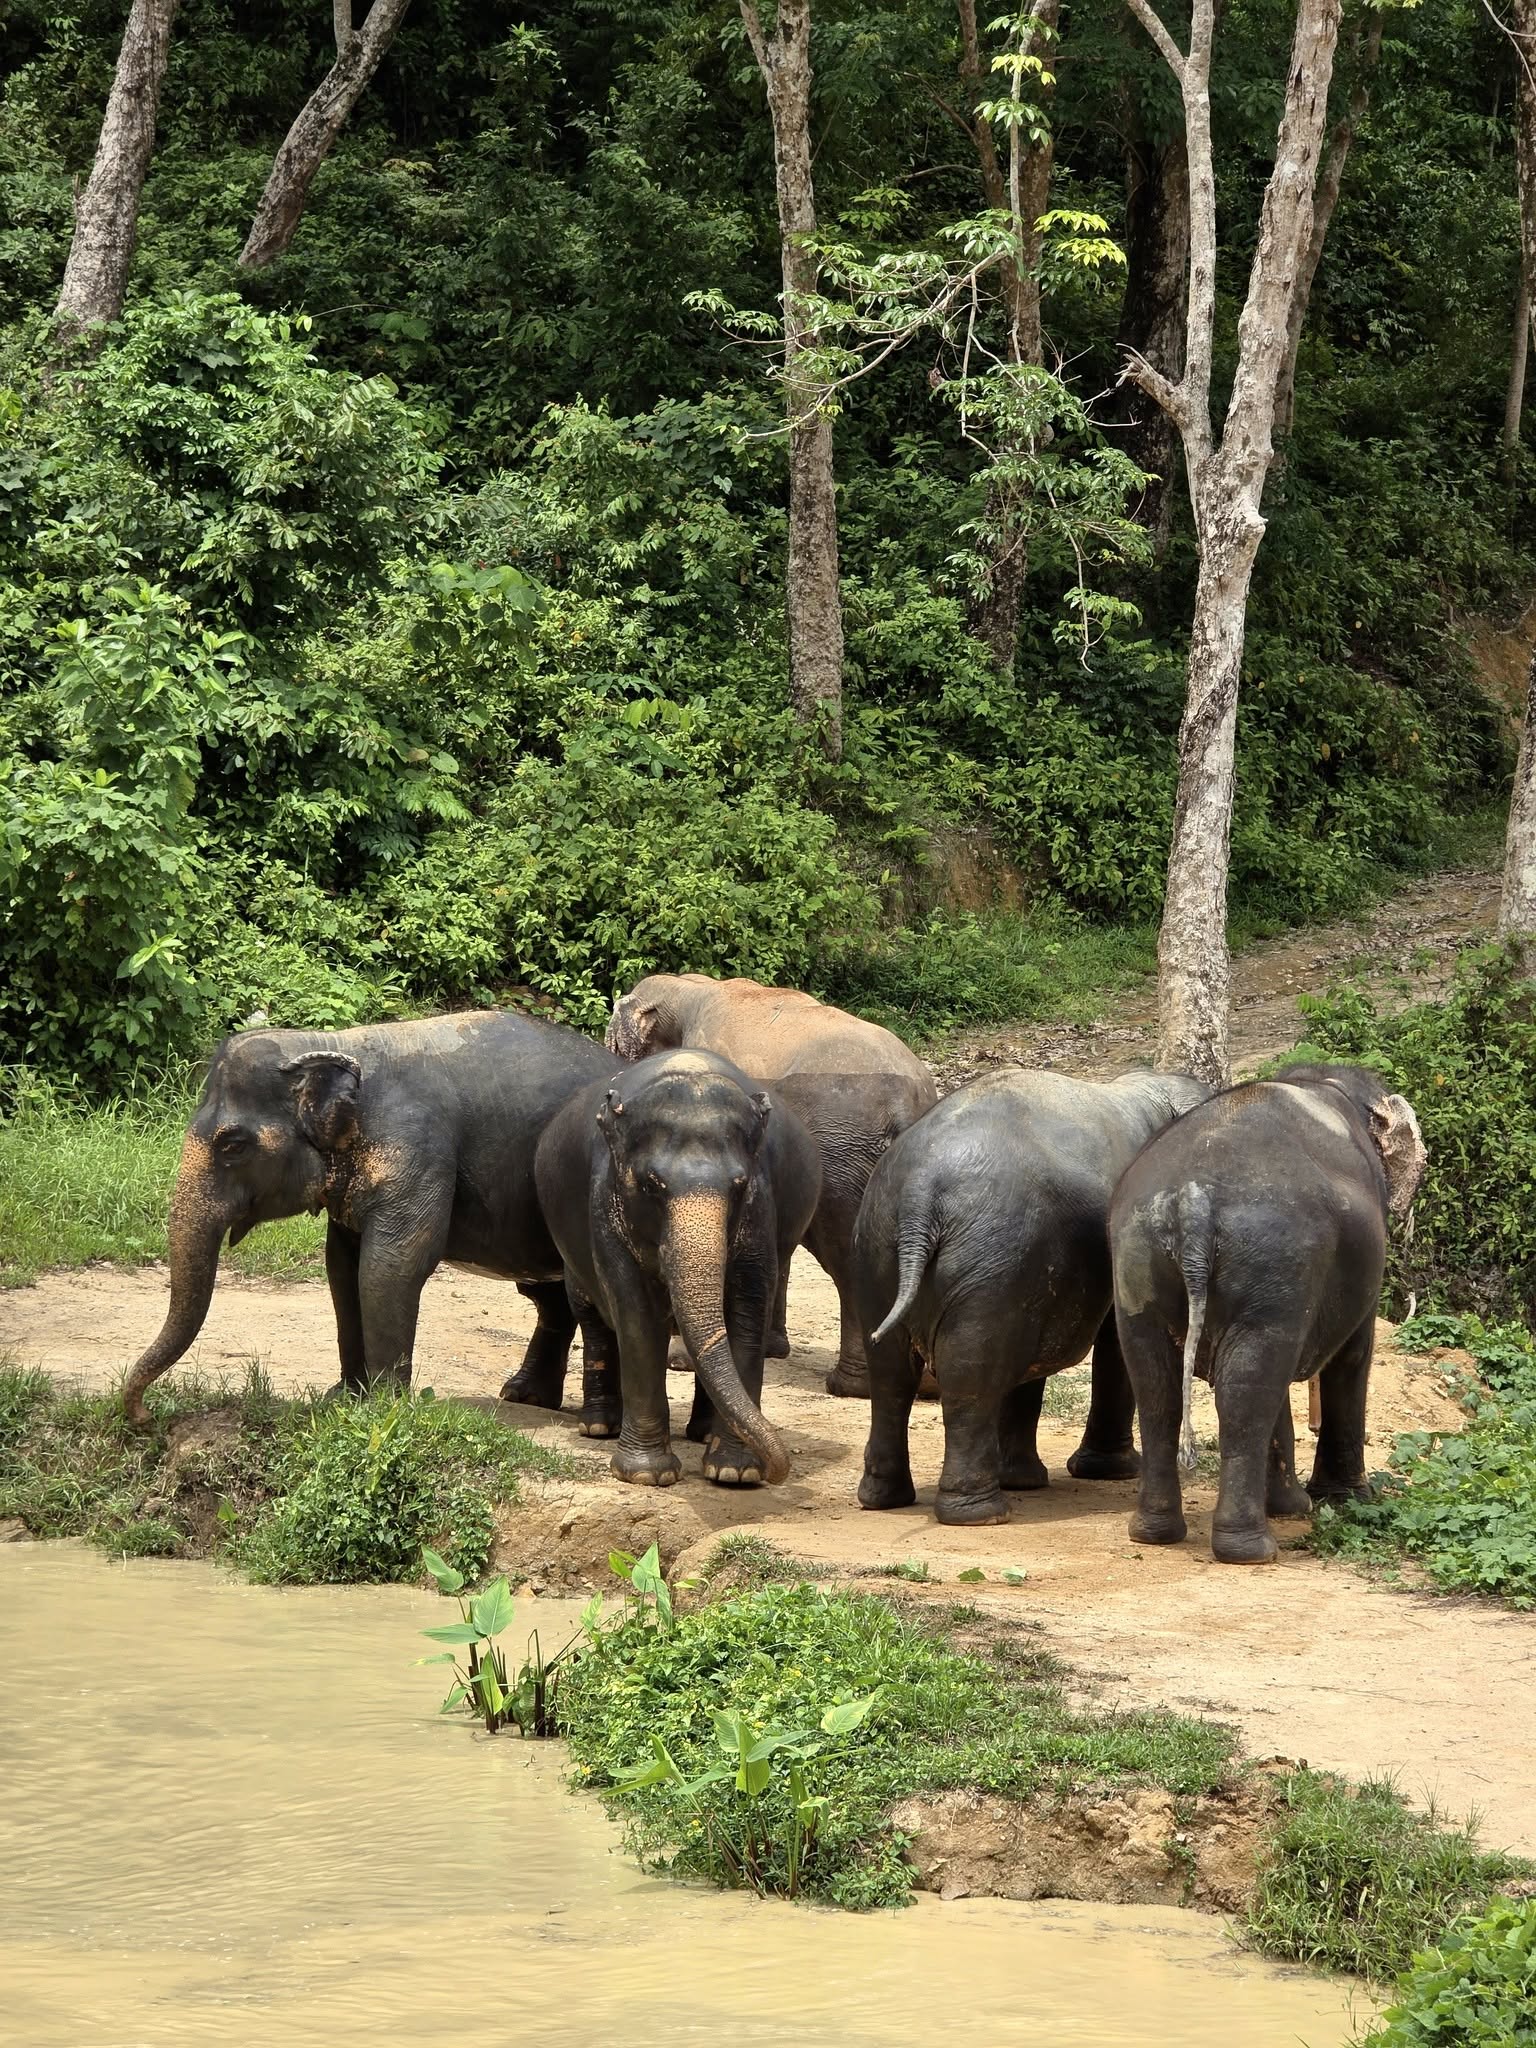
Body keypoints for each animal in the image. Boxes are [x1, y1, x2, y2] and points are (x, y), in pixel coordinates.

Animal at [122, 1012, 617, 1424]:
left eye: (233, 1146)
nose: (146, 1416)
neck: (334, 1042)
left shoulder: (415, 1146)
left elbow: (391, 1267)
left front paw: (383, 1409)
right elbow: (341, 1268)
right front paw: (342, 1399)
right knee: (550, 1296)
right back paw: (524, 1397)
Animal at [534, 1048, 820, 1487]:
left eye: (739, 1185)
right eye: (652, 1185)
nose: (778, 1470)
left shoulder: (761, 1207)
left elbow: (748, 1308)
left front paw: (734, 1473)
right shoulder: (605, 1205)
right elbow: (634, 1313)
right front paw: (645, 1475)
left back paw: (701, 1435)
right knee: (591, 1315)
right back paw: (599, 1427)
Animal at [605, 972, 938, 1396]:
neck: (691, 986)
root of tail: (907, 1104)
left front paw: (680, 1359)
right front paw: (770, 1349)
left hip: (842, 1154)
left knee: (846, 1256)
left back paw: (851, 1385)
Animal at [854, 1067, 1210, 1527]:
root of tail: (920, 1188)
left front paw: (1025, 1480)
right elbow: (1115, 1340)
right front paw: (1109, 1472)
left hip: (880, 1244)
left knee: (892, 1370)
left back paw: (884, 1498)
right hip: (991, 1254)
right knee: (970, 1369)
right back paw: (980, 1513)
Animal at [1109, 1062, 1427, 1565]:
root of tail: (1194, 1200)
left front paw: (1294, 1506)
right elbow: (1354, 1354)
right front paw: (1344, 1499)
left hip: (1138, 1256)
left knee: (1159, 1383)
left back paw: (1154, 1533)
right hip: (1271, 1254)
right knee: (1247, 1387)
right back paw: (1250, 1550)